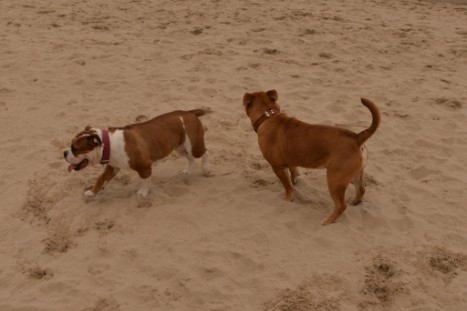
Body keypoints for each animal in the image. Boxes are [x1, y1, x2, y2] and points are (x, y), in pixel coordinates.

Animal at [63, 109, 210, 197]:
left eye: (75, 148)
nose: (64, 153)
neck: (108, 145)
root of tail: (189, 112)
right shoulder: (112, 168)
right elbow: (101, 179)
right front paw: (92, 192)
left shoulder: (144, 167)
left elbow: (144, 180)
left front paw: (143, 192)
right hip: (180, 148)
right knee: (191, 159)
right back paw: (187, 171)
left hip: (193, 146)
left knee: (205, 153)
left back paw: (206, 170)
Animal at [243, 90, 382, 224]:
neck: (268, 115)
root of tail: (357, 138)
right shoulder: (291, 159)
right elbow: (294, 172)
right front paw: (295, 180)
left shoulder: (277, 167)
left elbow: (287, 186)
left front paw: (287, 198)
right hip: (355, 175)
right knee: (361, 190)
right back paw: (354, 201)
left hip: (335, 180)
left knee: (341, 205)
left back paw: (328, 220)